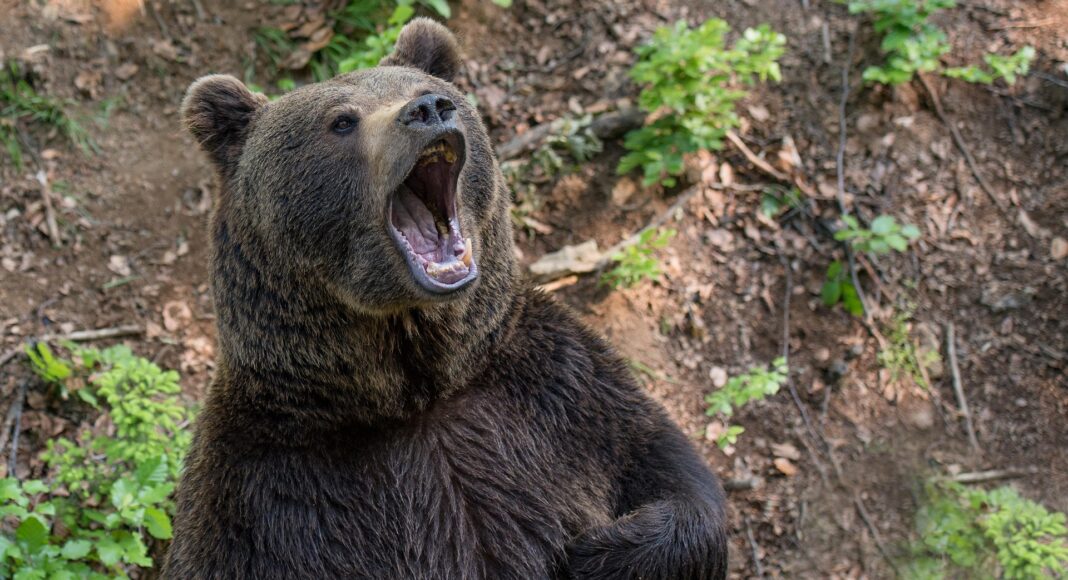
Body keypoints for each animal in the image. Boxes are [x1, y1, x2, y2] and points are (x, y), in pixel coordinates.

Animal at [164, 18, 728, 580]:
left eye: (426, 90)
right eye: (342, 121)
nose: (429, 109)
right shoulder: (265, 492)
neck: (419, 391)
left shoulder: (567, 396)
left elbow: (673, 476)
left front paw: (596, 552)